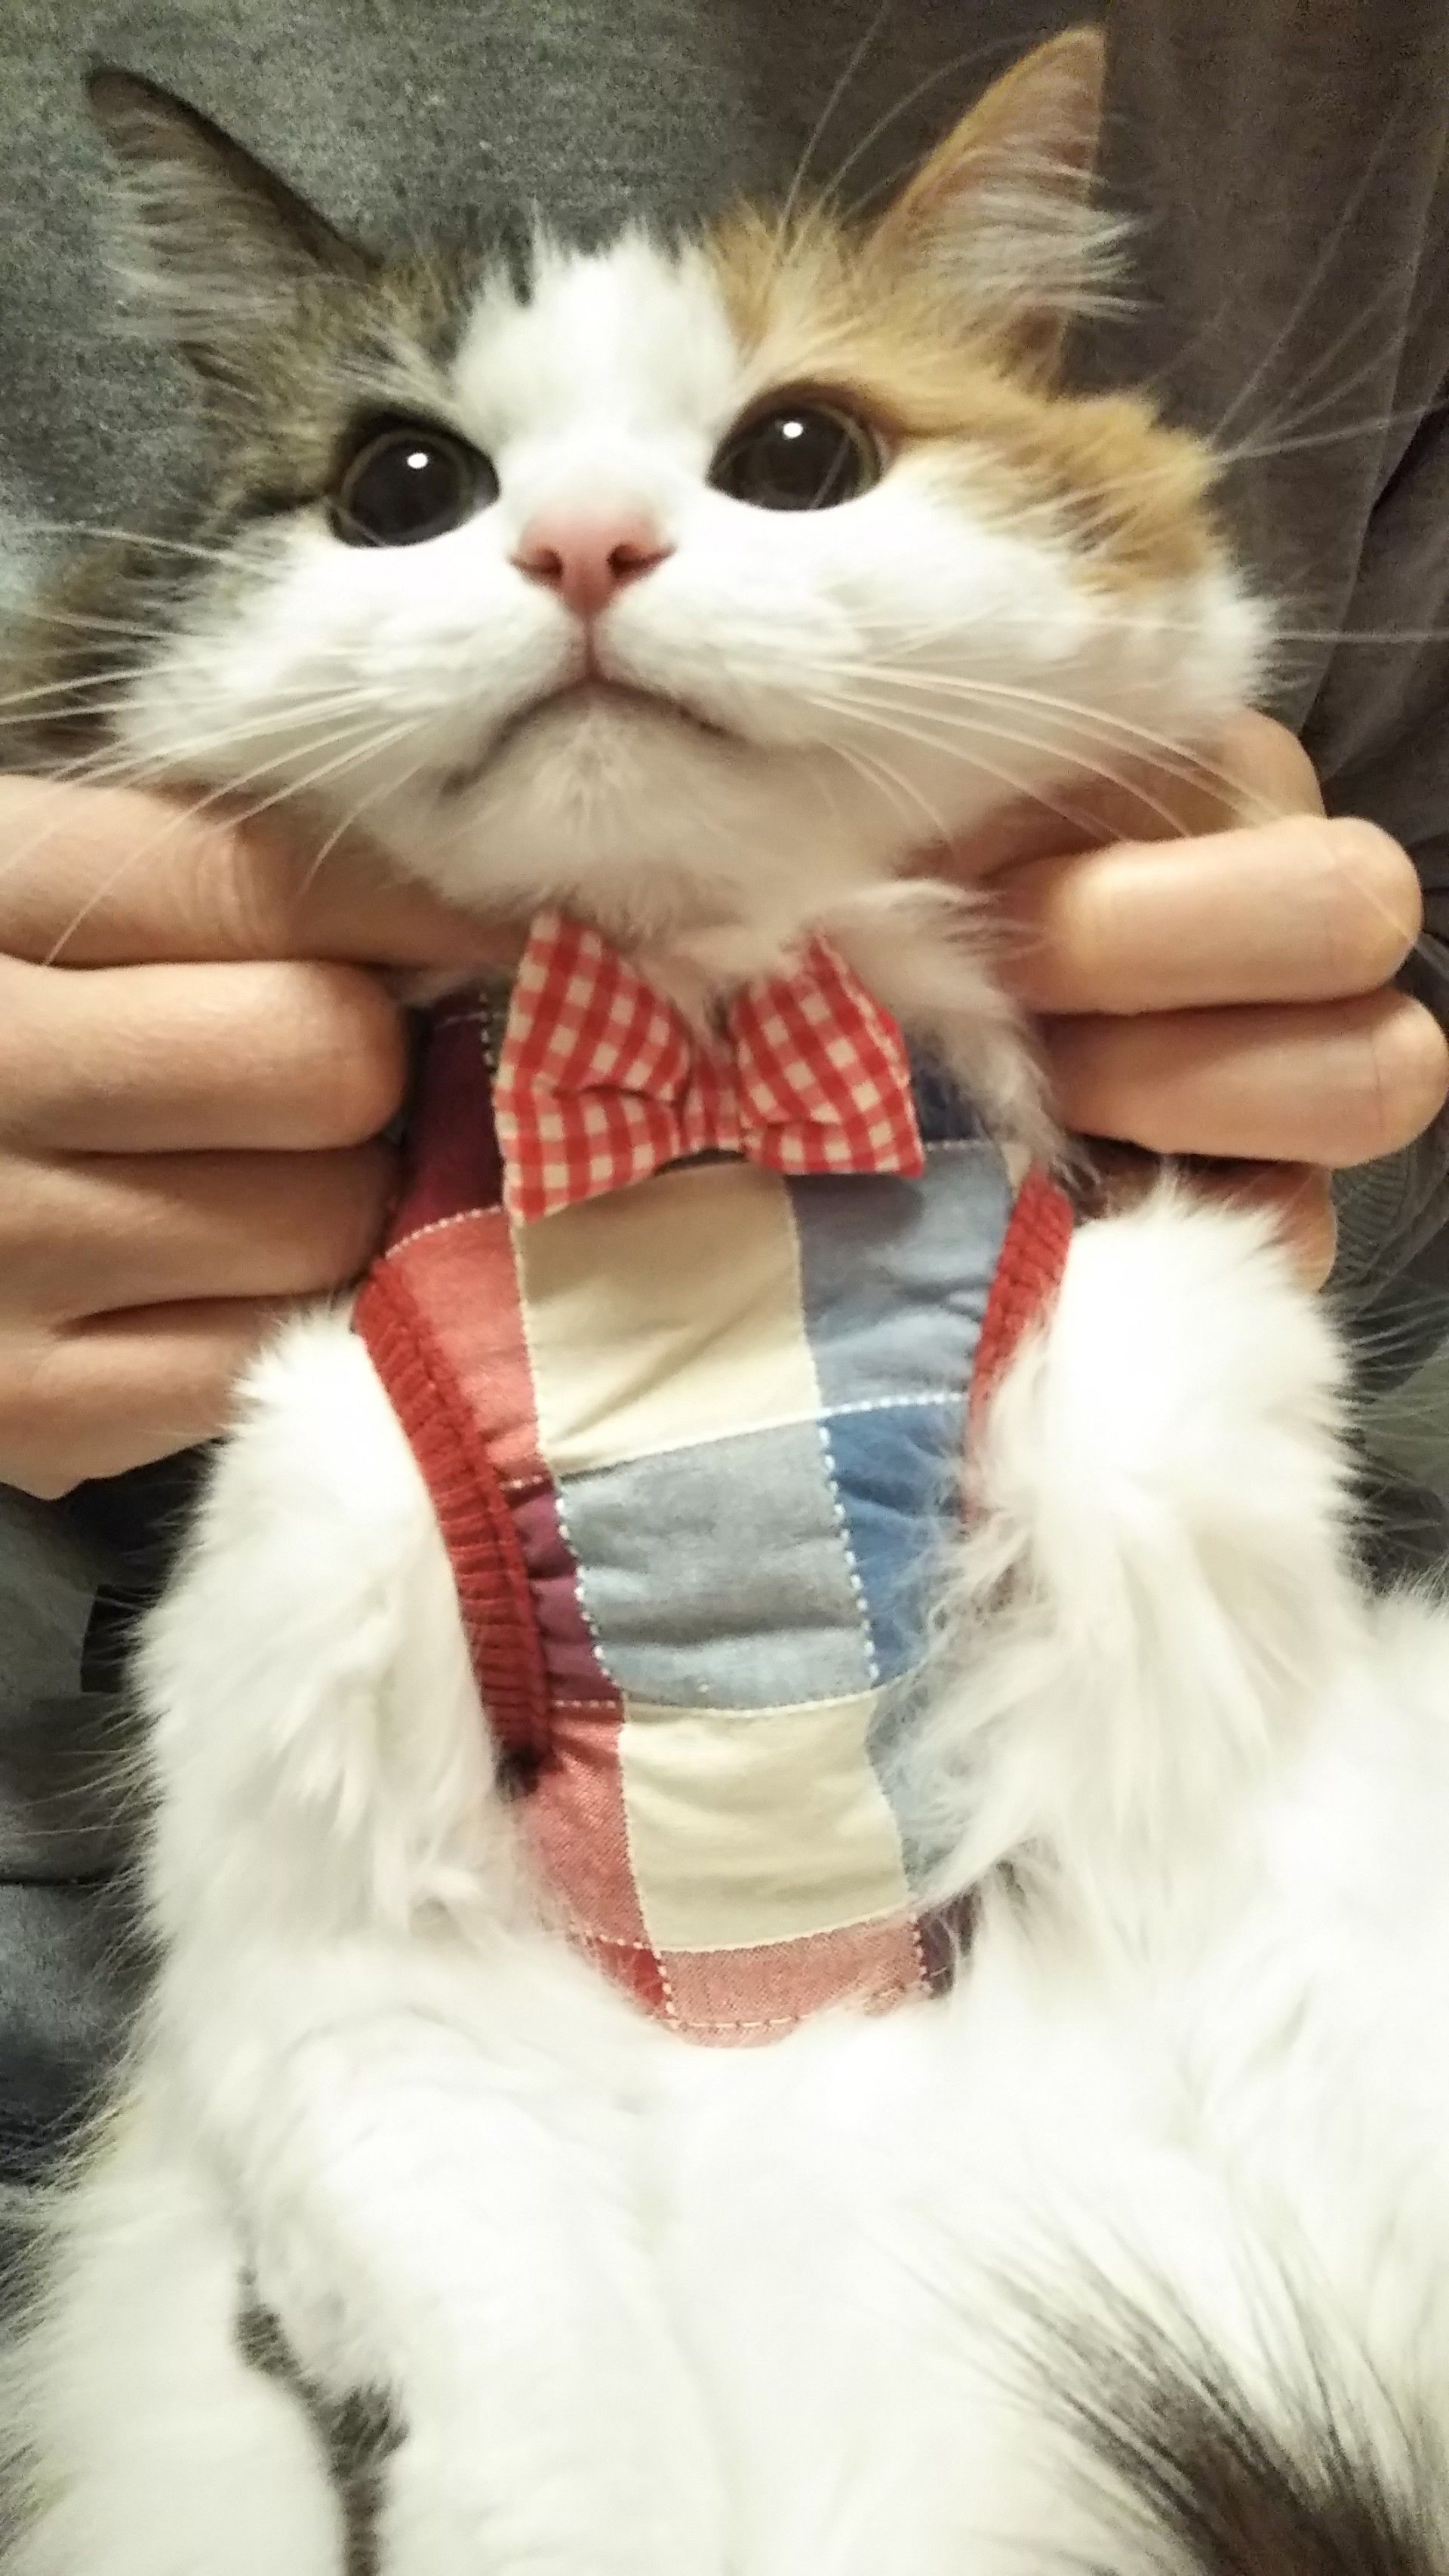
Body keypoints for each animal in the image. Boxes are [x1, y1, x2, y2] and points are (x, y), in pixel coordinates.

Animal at [4, 25, 1449, 2576]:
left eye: (800, 458)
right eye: (400, 484)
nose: (584, 549)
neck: (698, 1098)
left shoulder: (1198, 1619)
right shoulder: (354, 1940)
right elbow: (539, 2420)